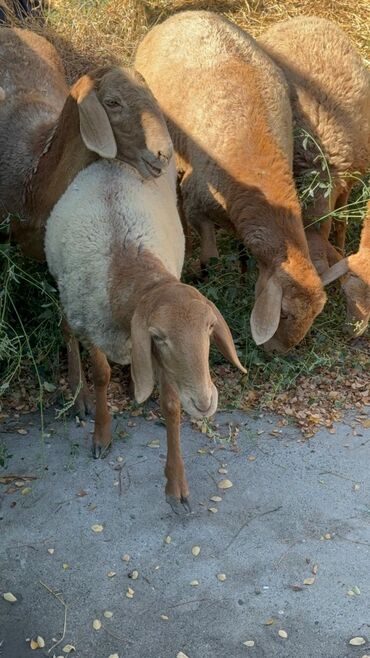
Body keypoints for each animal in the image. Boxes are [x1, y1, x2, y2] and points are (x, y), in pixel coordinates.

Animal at [0, 26, 173, 416]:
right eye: (112, 102)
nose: (163, 153)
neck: (34, 185)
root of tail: (11, 27)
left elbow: (70, 324)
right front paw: (78, 396)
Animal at [44, 155, 246, 512]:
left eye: (209, 329)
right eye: (161, 336)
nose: (205, 402)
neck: (132, 272)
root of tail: (107, 162)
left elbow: (172, 406)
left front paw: (176, 485)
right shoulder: (97, 331)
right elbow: (102, 375)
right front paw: (101, 434)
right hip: (66, 290)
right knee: (67, 329)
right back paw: (78, 393)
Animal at [134, 10, 326, 356]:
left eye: (314, 316)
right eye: (284, 313)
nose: (277, 351)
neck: (260, 176)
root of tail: (185, 14)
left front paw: (242, 269)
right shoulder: (197, 201)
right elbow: (210, 254)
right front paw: (201, 274)